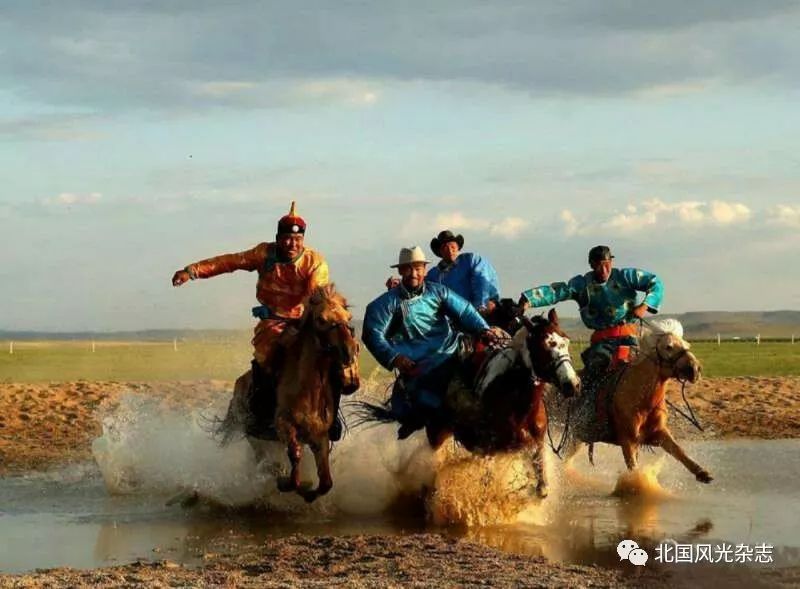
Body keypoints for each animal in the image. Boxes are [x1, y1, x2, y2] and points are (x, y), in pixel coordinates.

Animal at [220, 284, 358, 500]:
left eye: (348, 317)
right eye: (321, 319)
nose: (350, 351)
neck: (308, 391)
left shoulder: (320, 437)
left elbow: (326, 482)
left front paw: (309, 492)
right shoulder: (284, 425)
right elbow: (295, 457)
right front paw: (288, 483)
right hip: (254, 436)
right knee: (263, 461)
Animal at [360, 306, 580, 498]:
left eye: (566, 341)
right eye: (543, 347)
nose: (572, 384)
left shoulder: (534, 445)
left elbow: (542, 489)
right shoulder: (489, 449)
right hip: (437, 433)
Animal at [564, 320, 712, 484]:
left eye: (686, 344)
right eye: (668, 346)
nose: (695, 369)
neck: (642, 400)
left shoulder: (658, 433)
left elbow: (678, 450)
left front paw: (702, 472)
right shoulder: (628, 441)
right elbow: (633, 468)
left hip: (578, 438)